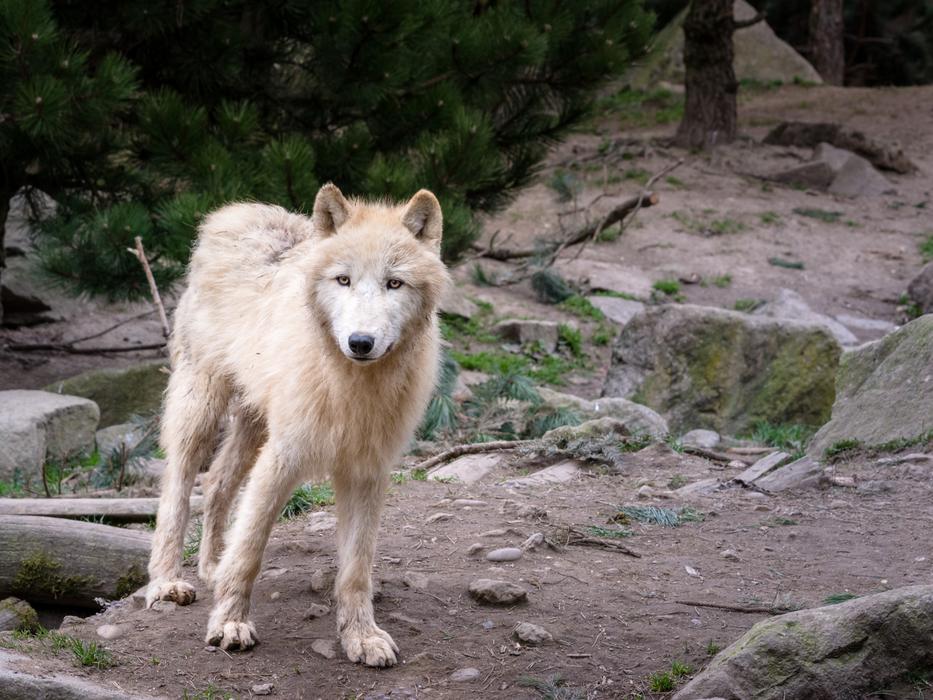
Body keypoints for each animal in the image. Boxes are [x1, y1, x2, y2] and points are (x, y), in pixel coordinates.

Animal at [145, 184, 449, 667]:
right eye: (343, 280)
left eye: (394, 283)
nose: (360, 342)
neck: (352, 386)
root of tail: (236, 212)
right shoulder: (282, 457)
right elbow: (250, 549)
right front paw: (230, 624)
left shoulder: (367, 472)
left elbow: (356, 569)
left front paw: (361, 637)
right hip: (202, 406)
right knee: (178, 485)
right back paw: (166, 581)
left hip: (253, 425)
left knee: (217, 482)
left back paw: (211, 566)